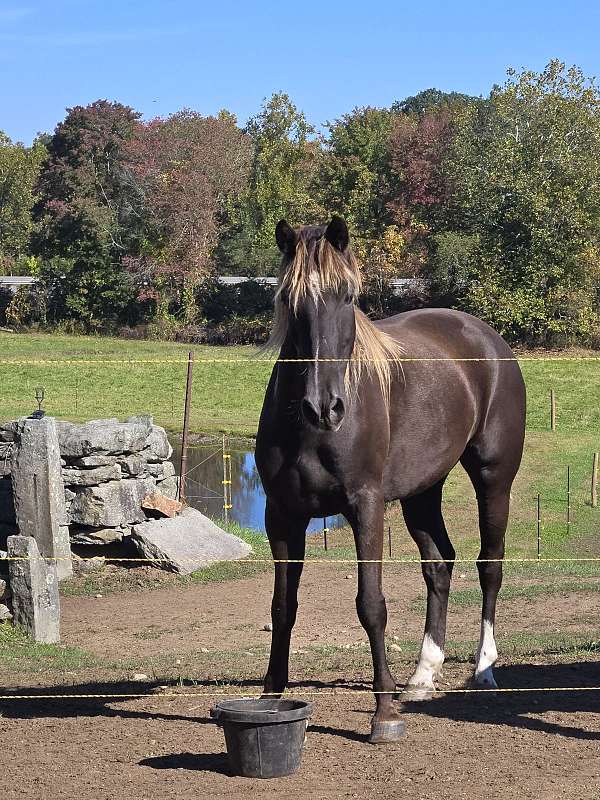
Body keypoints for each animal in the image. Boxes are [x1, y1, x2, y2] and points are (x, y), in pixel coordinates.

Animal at [255, 217, 526, 743]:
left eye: (347, 296)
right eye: (289, 300)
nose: (325, 407)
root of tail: (486, 337)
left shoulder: (365, 506)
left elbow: (371, 604)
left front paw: (383, 714)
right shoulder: (282, 516)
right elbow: (281, 607)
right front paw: (271, 698)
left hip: (493, 480)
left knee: (490, 566)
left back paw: (483, 669)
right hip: (423, 493)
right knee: (440, 564)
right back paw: (422, 675)